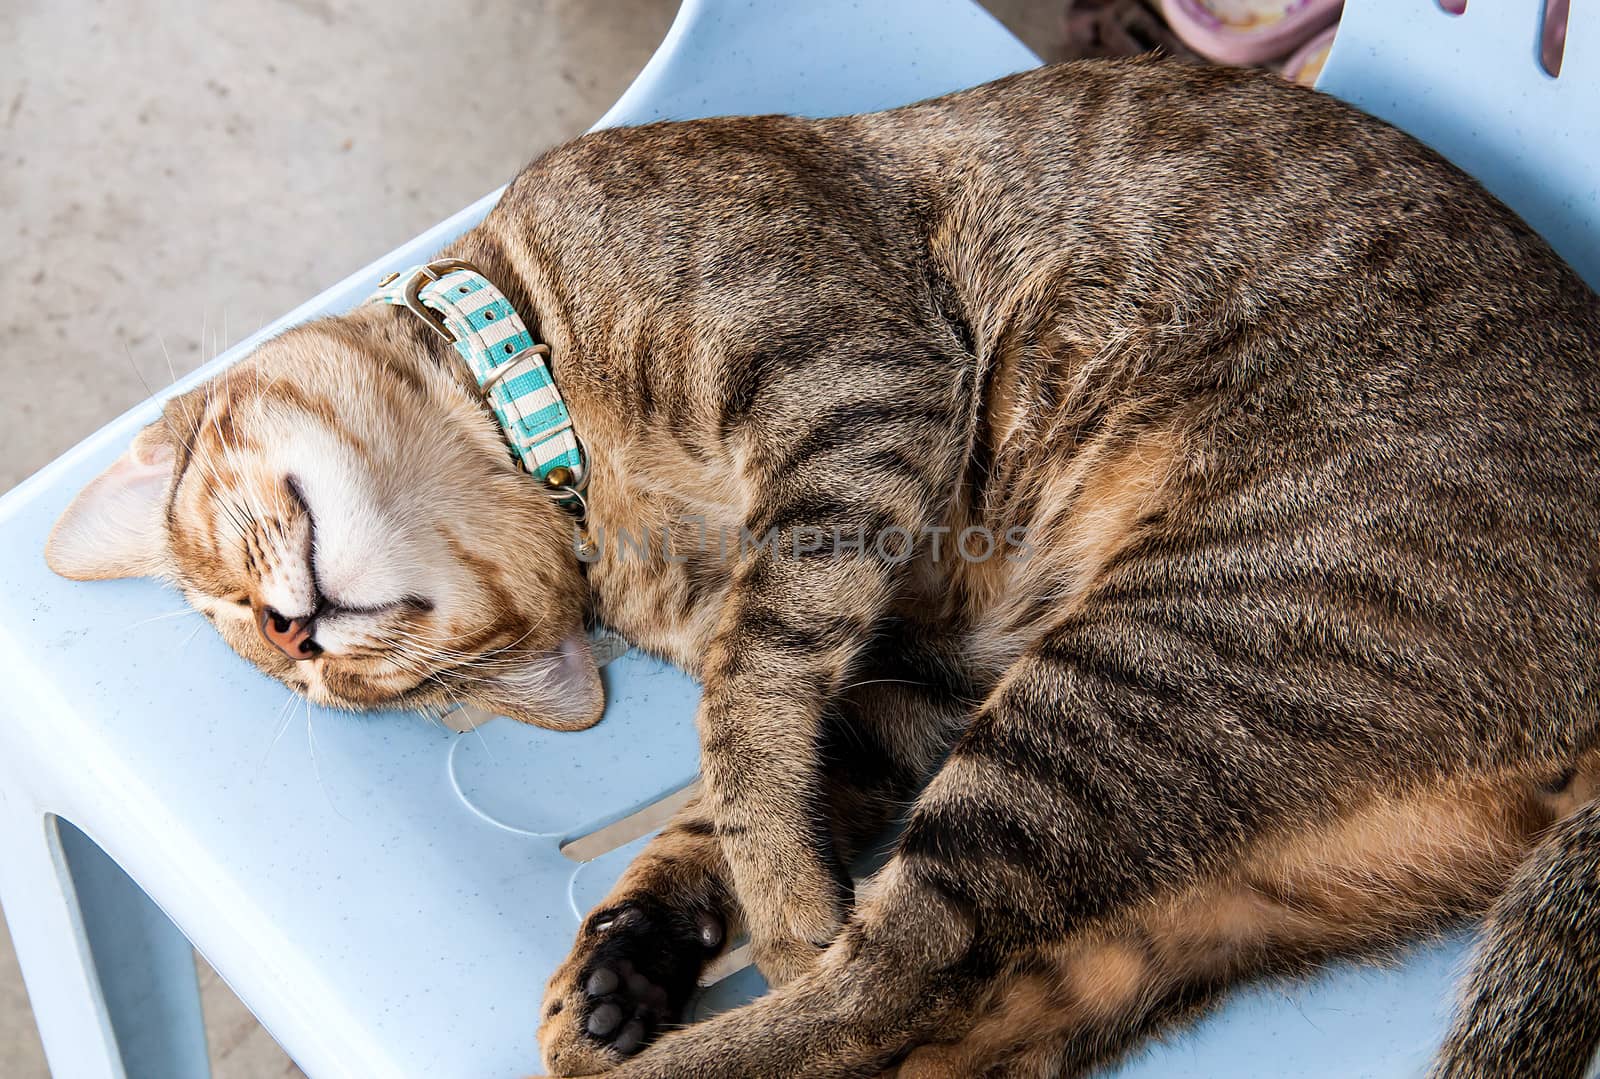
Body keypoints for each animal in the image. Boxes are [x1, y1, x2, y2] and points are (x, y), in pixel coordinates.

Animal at [43, 60, 1593, 1075]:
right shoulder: (906, 665)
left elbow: (746, 714)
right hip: (1193, 851)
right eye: (423, 693)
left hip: (1152, 659)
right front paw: (635, 949)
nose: (299, 641)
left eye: (220, 568)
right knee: (952, 1009)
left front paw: (753, 910)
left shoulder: (852, 387)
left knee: (892, 975)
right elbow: (763, 773)